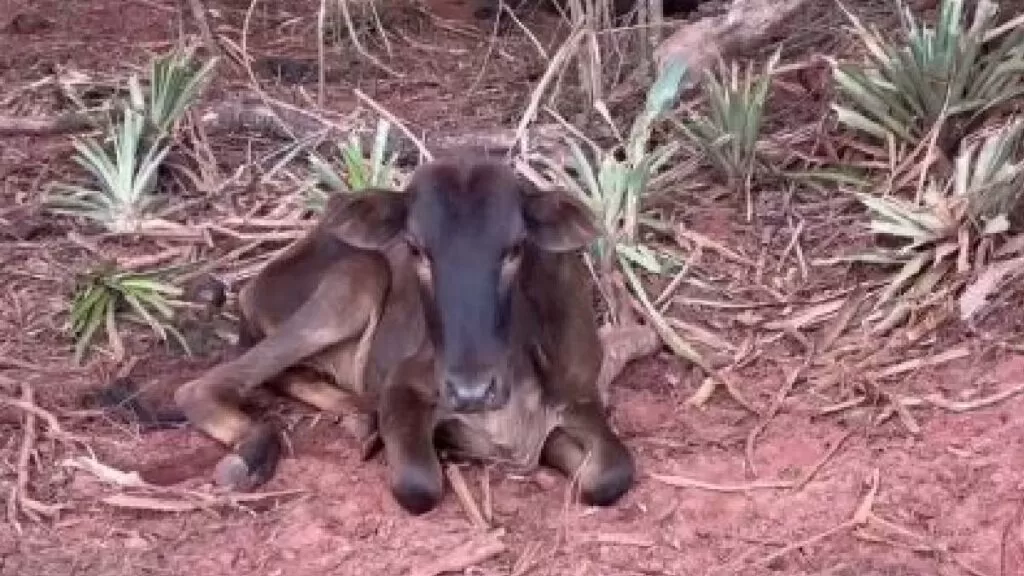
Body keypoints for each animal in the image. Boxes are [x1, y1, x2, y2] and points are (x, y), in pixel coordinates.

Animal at [175, 156, 634, 510]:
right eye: (415, 248)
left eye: (517, 247)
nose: (470, 392)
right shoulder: (405, 384)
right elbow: (418, 484)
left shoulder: (581, 398)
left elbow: (612, 472)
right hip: (357, 278)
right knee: (203, 387)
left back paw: (359, 417)